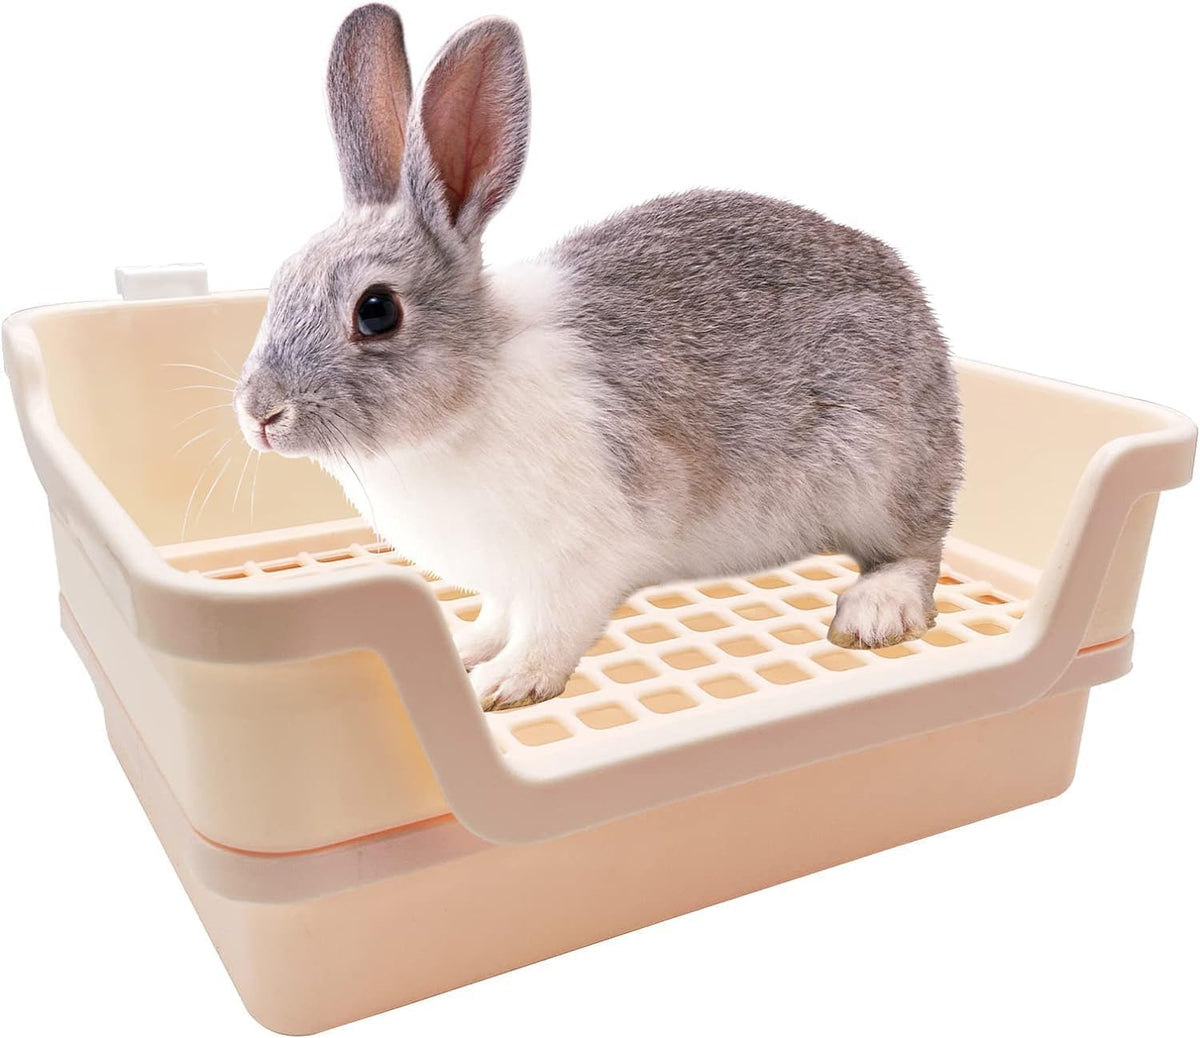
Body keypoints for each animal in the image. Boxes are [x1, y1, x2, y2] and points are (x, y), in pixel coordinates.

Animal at [234, 3, 963, 711]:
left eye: (377, 310)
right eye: (283, 281)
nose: (259, 415)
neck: (470, 395)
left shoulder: (579, 562)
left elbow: (550, 630)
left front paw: (509, 683)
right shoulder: (508, 579)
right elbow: (498, 615)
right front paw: (469, 647)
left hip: (879, 474)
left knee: (920, 552)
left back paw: (875, 613)